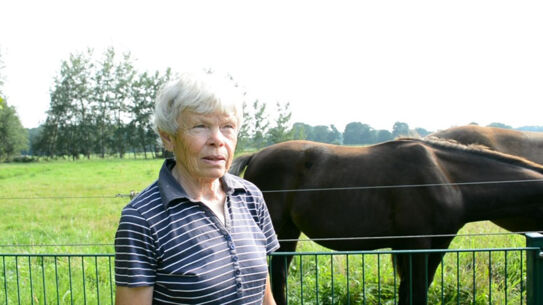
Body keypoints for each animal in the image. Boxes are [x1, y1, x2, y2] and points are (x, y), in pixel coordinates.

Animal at [230, 138, 543, 304]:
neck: (447, 177)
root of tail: (256, 155)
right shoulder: (418, 245)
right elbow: (416, 290)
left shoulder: (434, 245)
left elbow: (411, 291)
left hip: (288, 234)